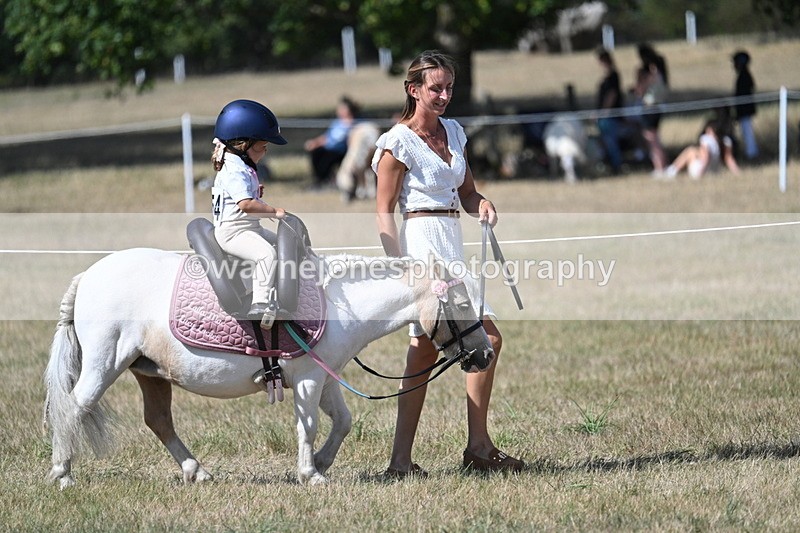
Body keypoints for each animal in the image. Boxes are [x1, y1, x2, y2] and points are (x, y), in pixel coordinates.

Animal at [43, 247, 493, 489]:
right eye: (461, 303)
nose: (486, 354)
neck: (339, 305)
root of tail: (88, 276)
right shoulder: (309, 379)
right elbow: (308, 426)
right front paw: (310, 473)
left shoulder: (323, 378)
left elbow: (343, 421)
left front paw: (322, 463)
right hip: (105, 364)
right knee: (75, 407)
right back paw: (62, 473)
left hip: (148, 371)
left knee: (158, 420)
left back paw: (197, 471)